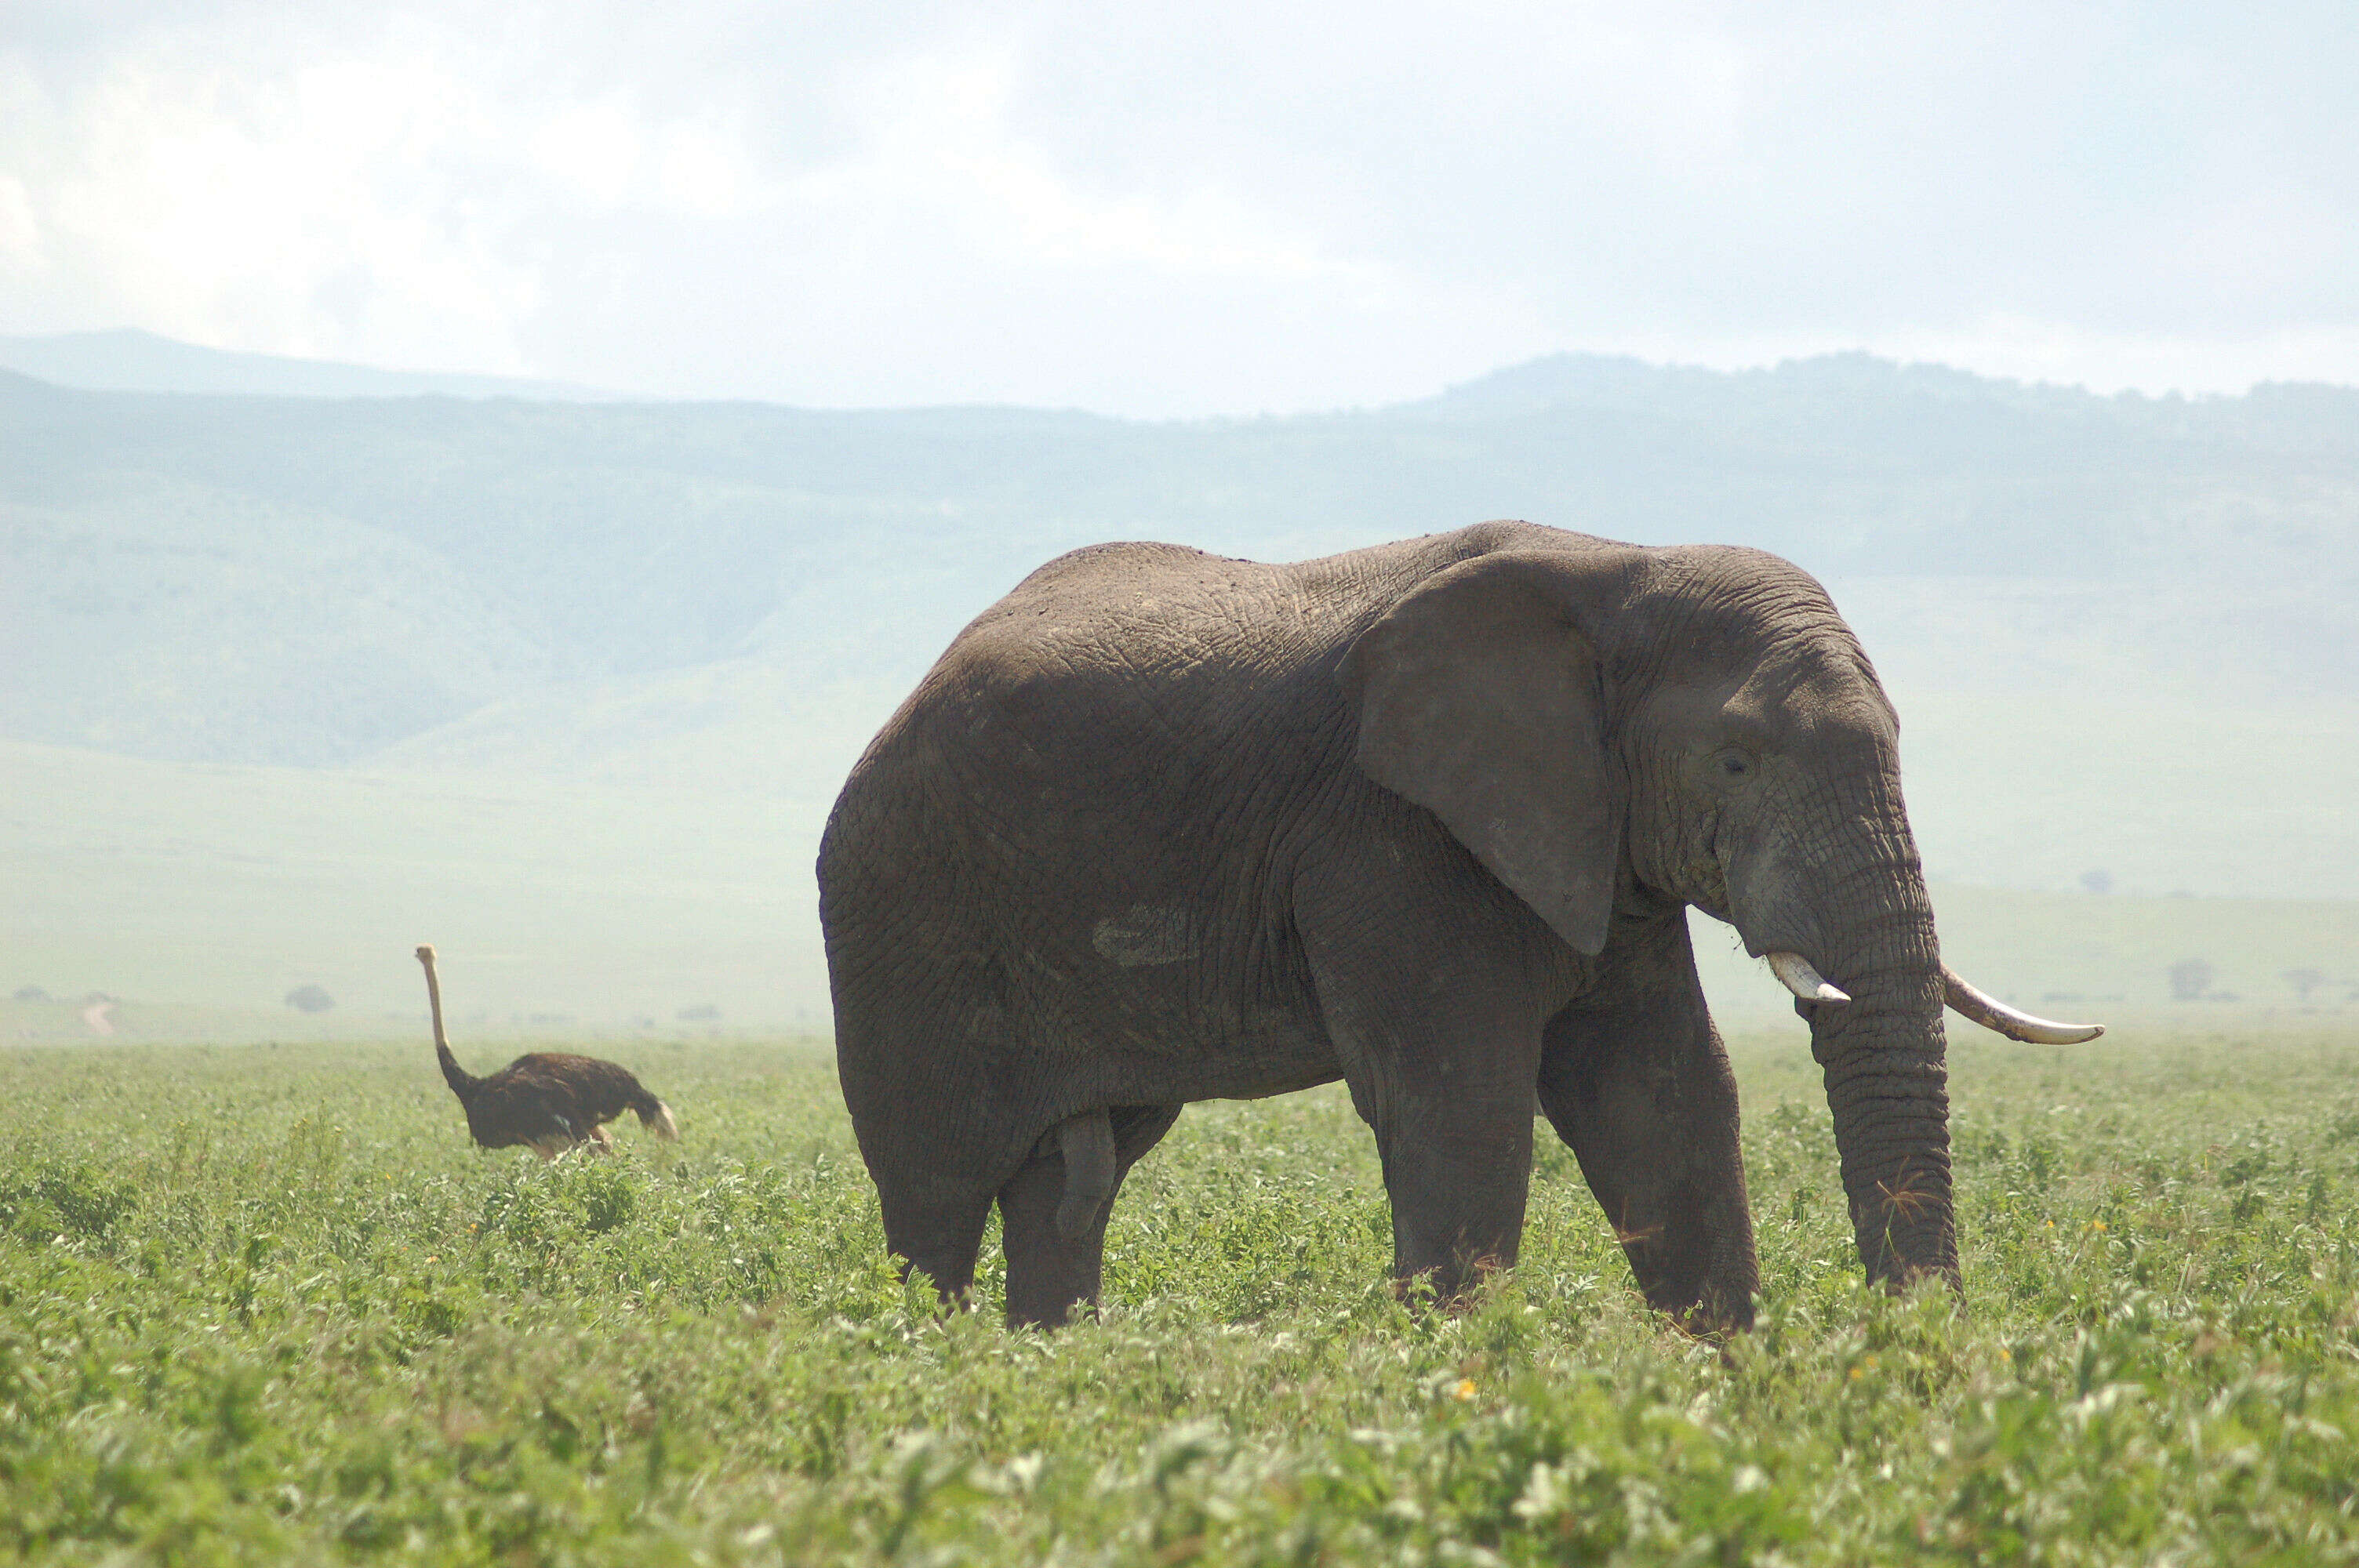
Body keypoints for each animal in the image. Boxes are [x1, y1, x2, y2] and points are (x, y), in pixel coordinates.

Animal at [816, 518, 2104, 1330]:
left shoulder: (1591, 841)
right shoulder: (1392, 838)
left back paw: (1049, 1369)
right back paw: (927, 1366)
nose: (1913, 1351)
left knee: (1071, 1178)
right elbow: (1460, 1102)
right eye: (1735, 761)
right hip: (897, 912)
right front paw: (1457, 1380)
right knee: (934, 1190)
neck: (1618, 566)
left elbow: (1665, 1096)